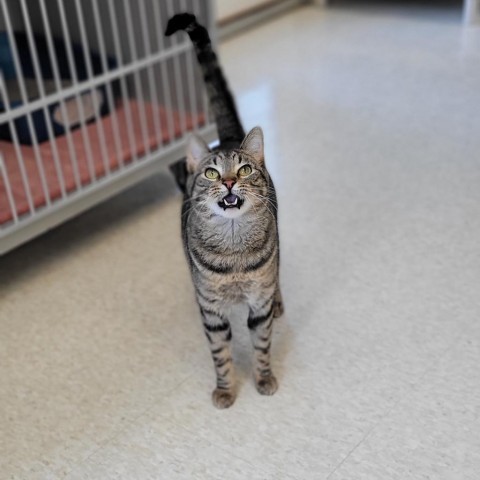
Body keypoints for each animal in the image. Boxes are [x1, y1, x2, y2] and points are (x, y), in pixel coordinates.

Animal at [167, 12, 284, 408]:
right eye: (212, 173)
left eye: (244, 169)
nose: (231, 182)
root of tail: (230, 135)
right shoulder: (213, 311)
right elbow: (220, 354)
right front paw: (225, 389)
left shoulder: (258, 301)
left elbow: (262, 344)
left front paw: (263, 379)